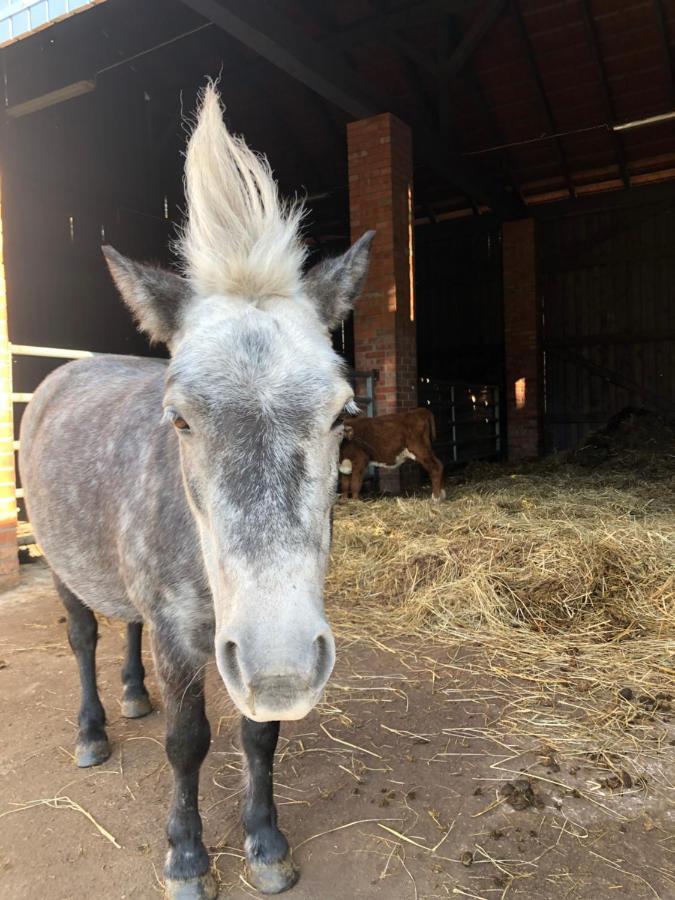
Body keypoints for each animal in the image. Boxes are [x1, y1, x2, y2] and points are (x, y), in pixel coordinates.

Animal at [19, 82, 374, 892]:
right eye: (178, 418)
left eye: (343, 413)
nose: (283, 669)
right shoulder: (185, 635)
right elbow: (188, 741)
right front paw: (185, 857)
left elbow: (258, 736)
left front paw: (266, 845)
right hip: (59, 566)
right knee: (84, 635)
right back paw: (94, 731)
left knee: (124, 627)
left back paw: (131, 694)